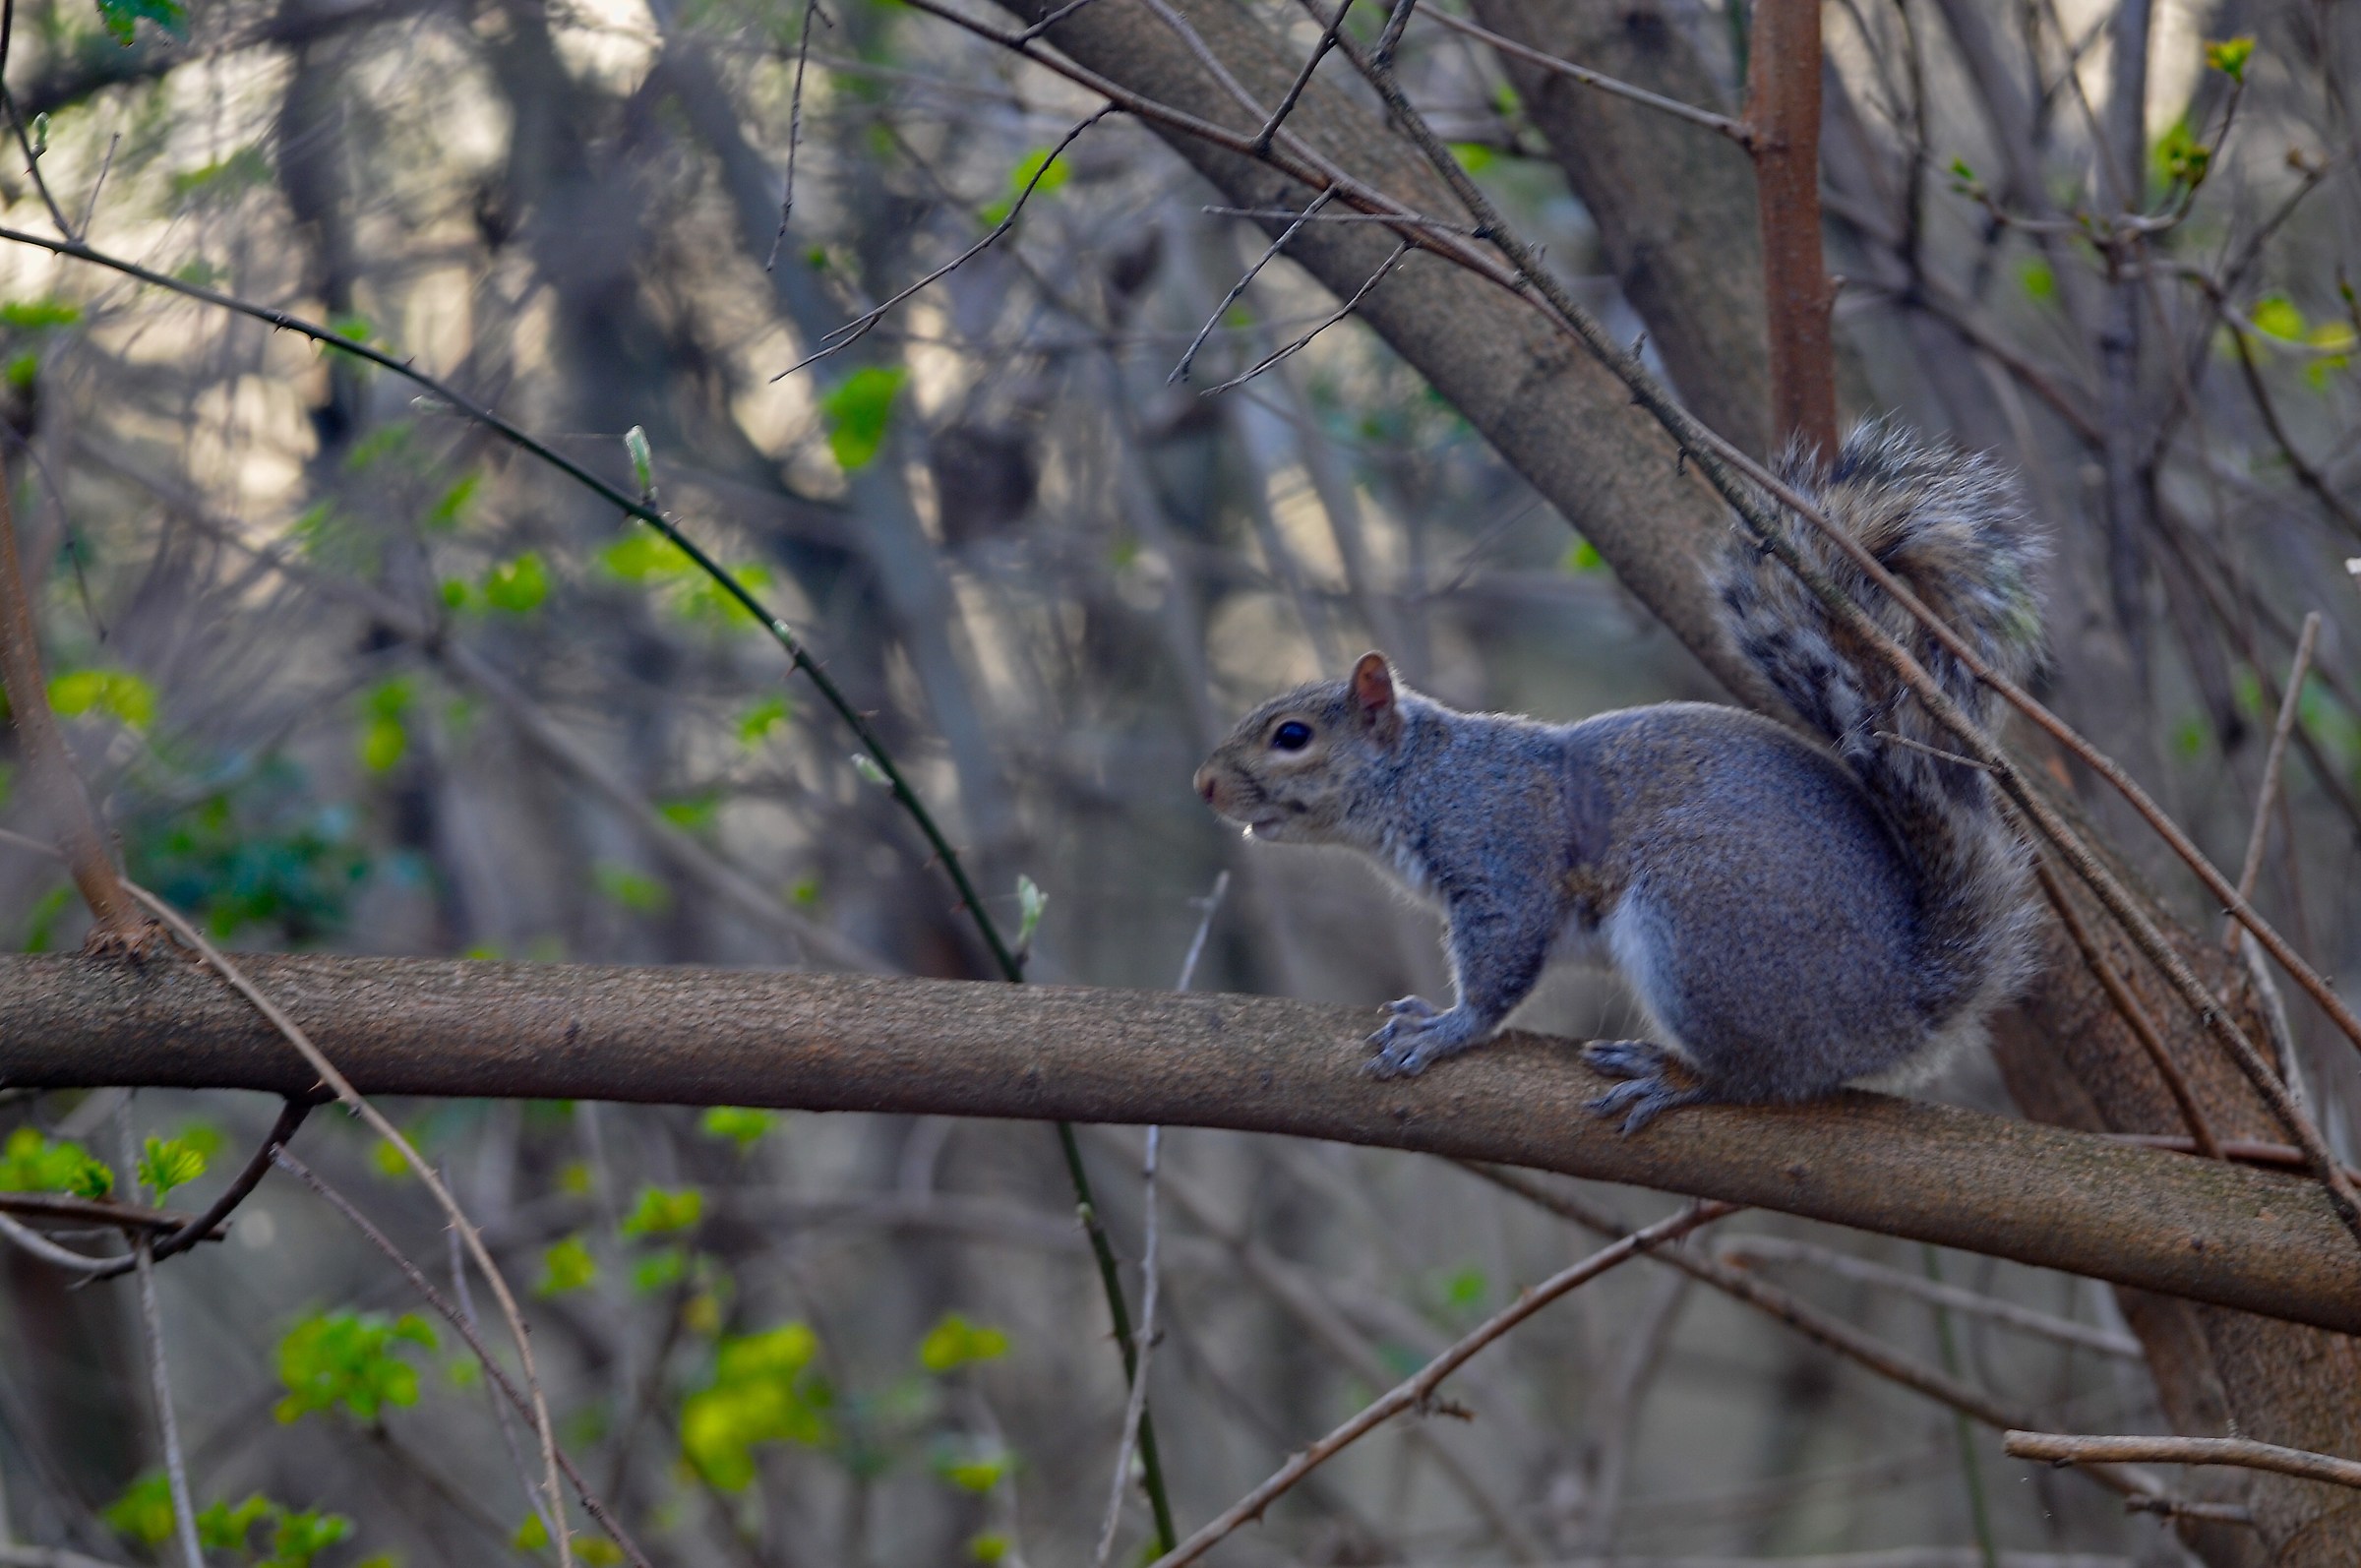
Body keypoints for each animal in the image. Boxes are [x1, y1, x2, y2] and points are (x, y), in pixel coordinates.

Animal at [1192, 423, 2048, 1131]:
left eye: (1291, 736)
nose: (1203, 784)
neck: (1426, 777)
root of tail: (1904, 1003)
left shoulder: (1502, 859)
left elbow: (1501, 966)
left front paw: (1444, 1029)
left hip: (1704, 927)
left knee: (1762, 1079)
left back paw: (1674, 1078)